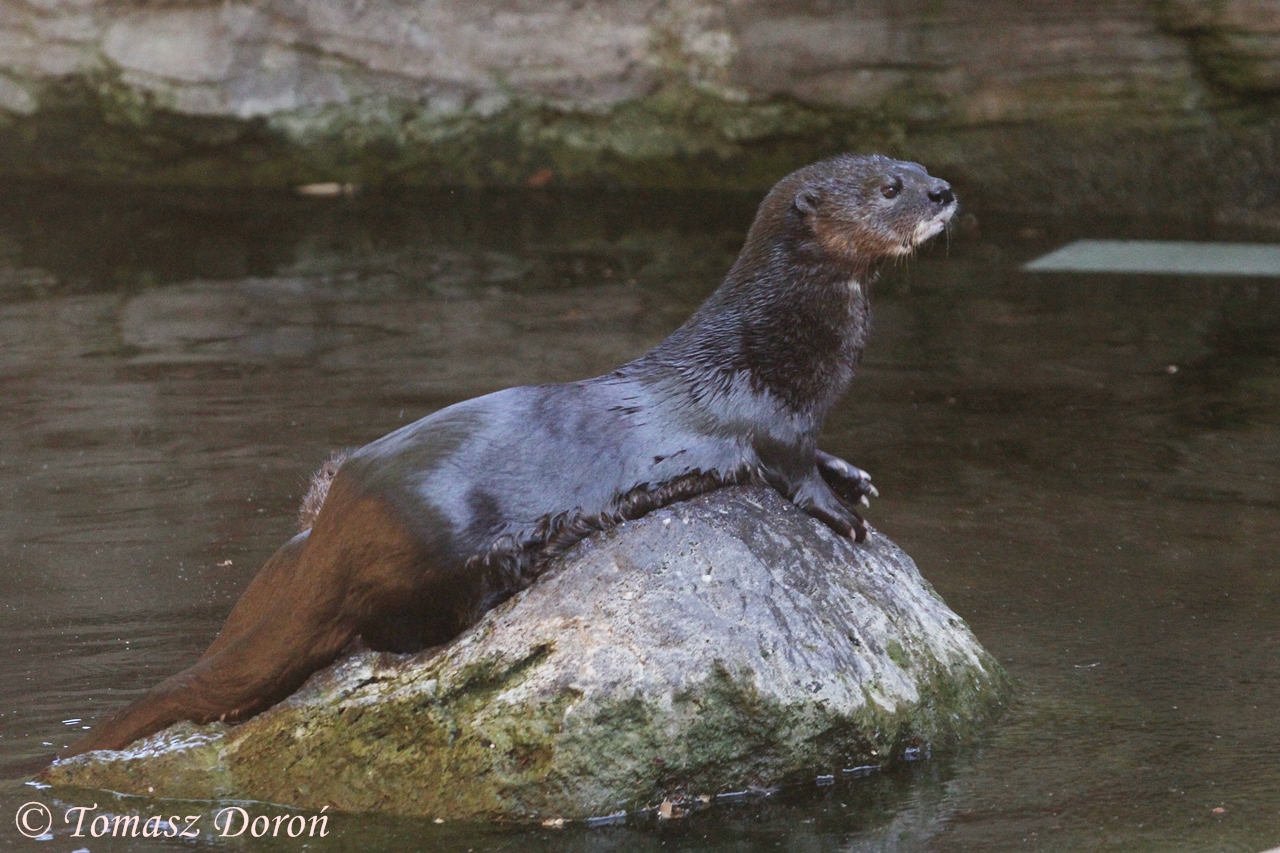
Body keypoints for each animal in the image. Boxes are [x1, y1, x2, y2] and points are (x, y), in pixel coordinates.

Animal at [63, 154, 956, 757]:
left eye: (916, 167)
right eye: (889, 188)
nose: (945, 193)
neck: (779, 343)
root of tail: (335, 531)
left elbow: (824, 454)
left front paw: (855, 476)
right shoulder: (768, 418)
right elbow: (791, 470)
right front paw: (840, 513)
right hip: (436, 544)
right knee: (393, 628)